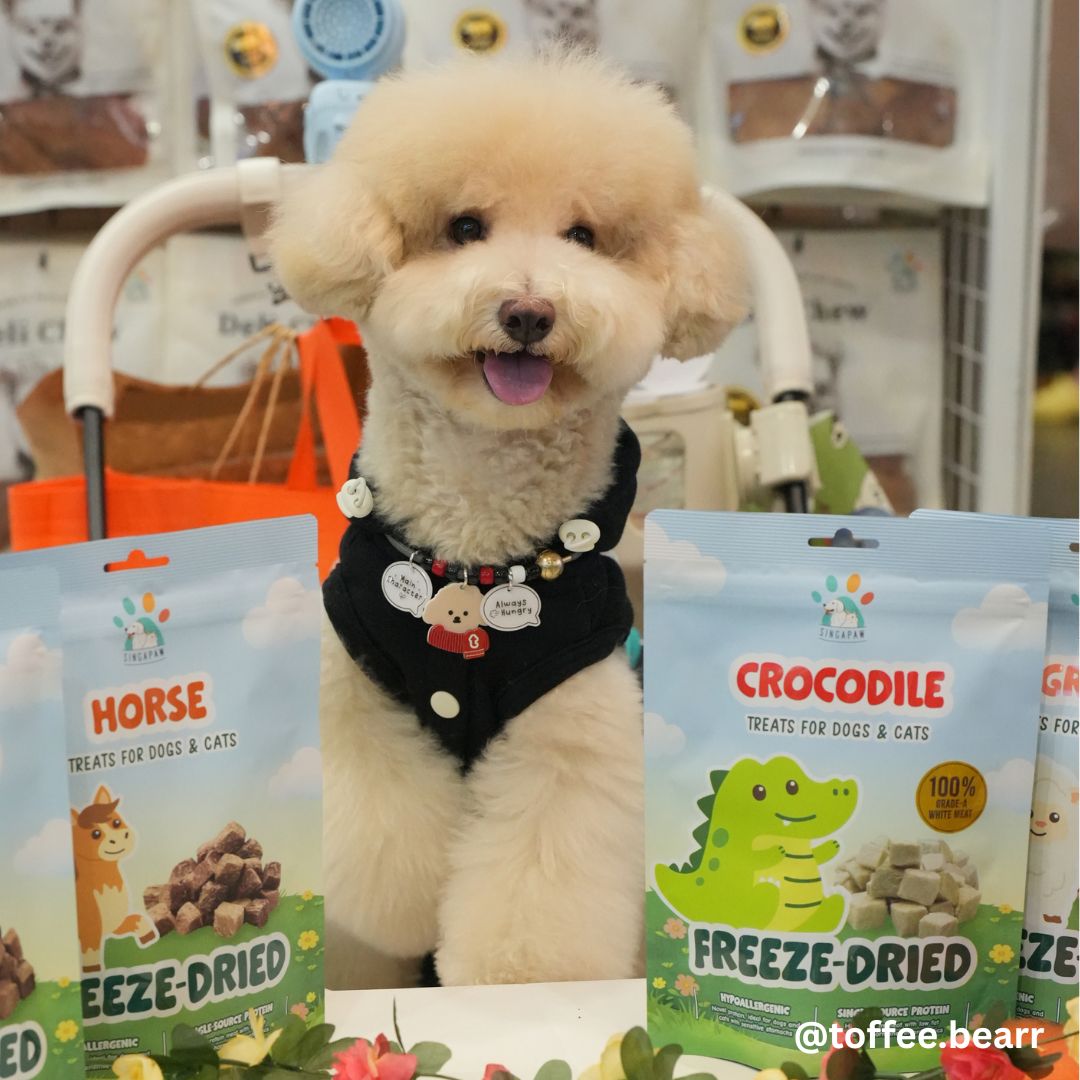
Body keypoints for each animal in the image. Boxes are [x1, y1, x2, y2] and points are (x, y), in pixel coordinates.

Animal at [270, 50, 745, 988]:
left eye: (584, 237)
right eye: (464, 227)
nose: (530, 312)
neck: (474, 550)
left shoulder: (574, 719)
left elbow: (542, 868)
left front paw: (517, 976)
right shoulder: (355, 692)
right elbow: (383, 836)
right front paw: (410, 907)